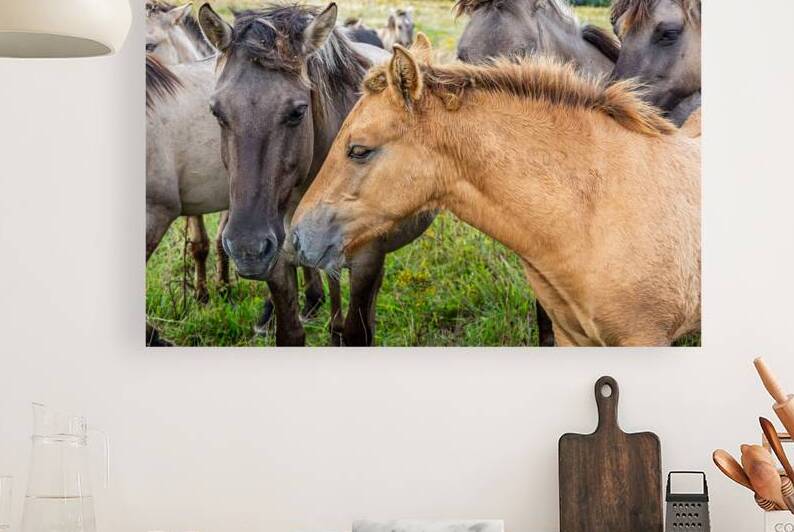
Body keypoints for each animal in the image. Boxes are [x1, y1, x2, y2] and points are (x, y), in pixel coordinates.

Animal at [196, 3, 435, 346]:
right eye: (216, 111)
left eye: (298, 112)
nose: (247, 248)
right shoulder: (278, 265)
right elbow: (290, 332)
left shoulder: (366, 262)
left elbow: (358, 331)